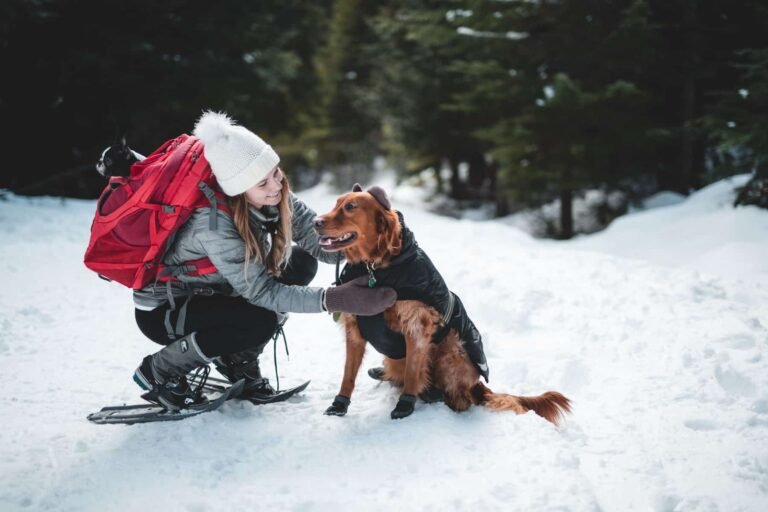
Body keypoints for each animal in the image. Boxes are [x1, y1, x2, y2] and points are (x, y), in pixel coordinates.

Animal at [312, 184, 568, 424]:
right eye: (337, 203)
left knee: (462, 397)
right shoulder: (355, 327)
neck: (375, 267)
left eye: (351, 207)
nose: (315, 222)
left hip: (452, 348)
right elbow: (348, 375)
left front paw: (405, 405)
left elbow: (413, 372)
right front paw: (339, 405)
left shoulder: (417, 327)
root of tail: (478, 385)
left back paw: (436, 396)